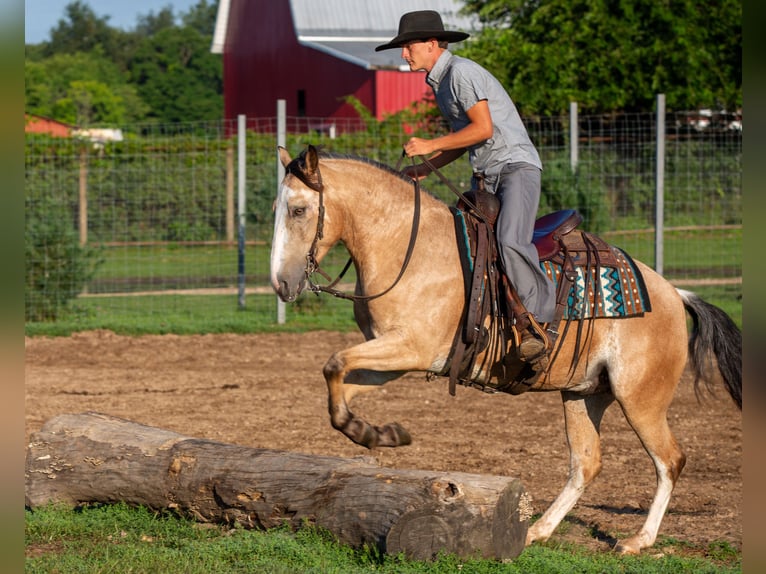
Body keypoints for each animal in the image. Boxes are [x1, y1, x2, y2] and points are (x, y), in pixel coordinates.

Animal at [269, 145, 742, 555]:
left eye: (299, 210)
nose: (280, 283)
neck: (408, 246)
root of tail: (672, 294)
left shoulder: (411, 347)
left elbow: (333, 365)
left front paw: (374, 432)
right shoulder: (391, 357)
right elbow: (338, 380)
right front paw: (377, 433)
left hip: (640, 398)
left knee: (670, 460)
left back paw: (637, 541)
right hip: (584, 394)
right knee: (586, 463)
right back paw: (537, 531)